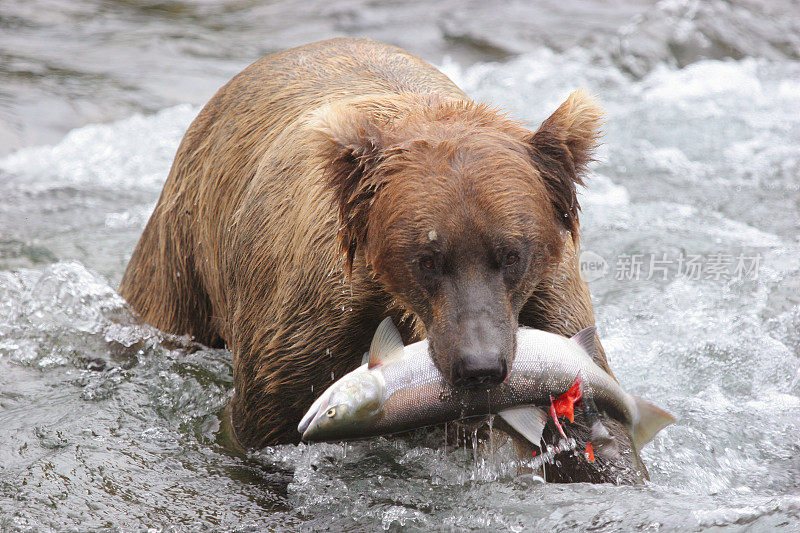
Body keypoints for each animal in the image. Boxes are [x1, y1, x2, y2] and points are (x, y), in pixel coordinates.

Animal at [120, 37, 648, 482]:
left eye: (512, 254)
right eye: (427, 259)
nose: (479, 366)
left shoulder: (547, 305)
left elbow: (600, 437)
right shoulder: (311, 322)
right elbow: (263, 428)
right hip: (181, 252)